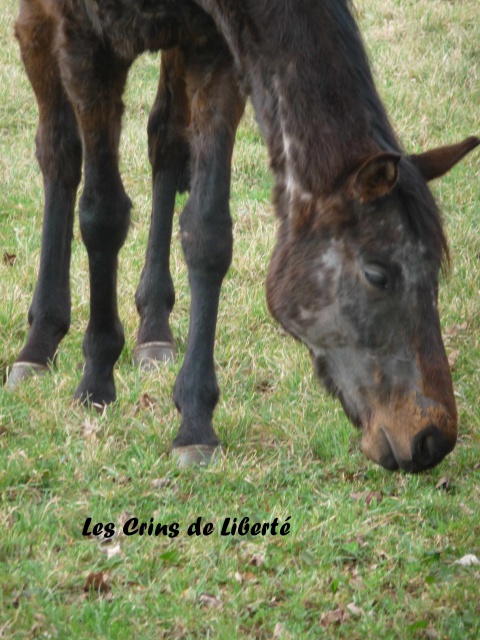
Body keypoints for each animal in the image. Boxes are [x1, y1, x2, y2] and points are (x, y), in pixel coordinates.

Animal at [10, 0, 476, 470]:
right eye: (378, 274)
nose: (431, 437)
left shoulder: (215, 48)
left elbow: (208, 233)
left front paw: (195, 420)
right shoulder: (87, 44)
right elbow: (102, 215)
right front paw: (96, 380)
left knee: (165, 140)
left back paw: (154, 327)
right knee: (59, 150)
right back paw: (38, 342)